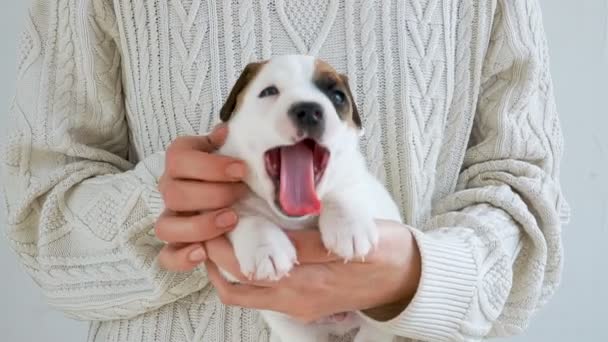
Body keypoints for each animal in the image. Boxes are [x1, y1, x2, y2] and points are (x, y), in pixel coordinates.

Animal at [216, 54, 402, 340]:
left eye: (337, 96)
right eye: (269, 92)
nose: (308, 110)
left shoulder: (365, 187)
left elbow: (345, 189)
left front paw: (349, 228)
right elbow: (244, 216)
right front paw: (265, 247)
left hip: (376, 323)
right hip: (293, 328)